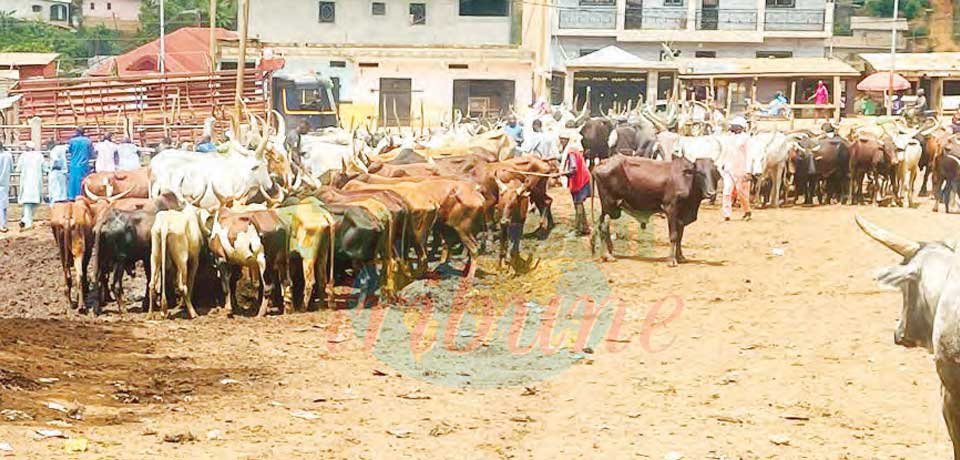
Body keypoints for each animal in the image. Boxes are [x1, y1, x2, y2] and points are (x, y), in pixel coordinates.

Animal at [592, 155, 720, 266]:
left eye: (714, 173)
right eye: (700, 173)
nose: (711, 193)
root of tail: (602, 162)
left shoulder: (681, 216)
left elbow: (680, 236)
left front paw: (680, 257)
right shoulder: (671, 209)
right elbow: (674, 236)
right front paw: (671, 260)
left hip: (609, 208)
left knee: (601, 224)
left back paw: (606, 251)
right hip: (609, 205)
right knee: (603, 226)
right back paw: (607, 255)